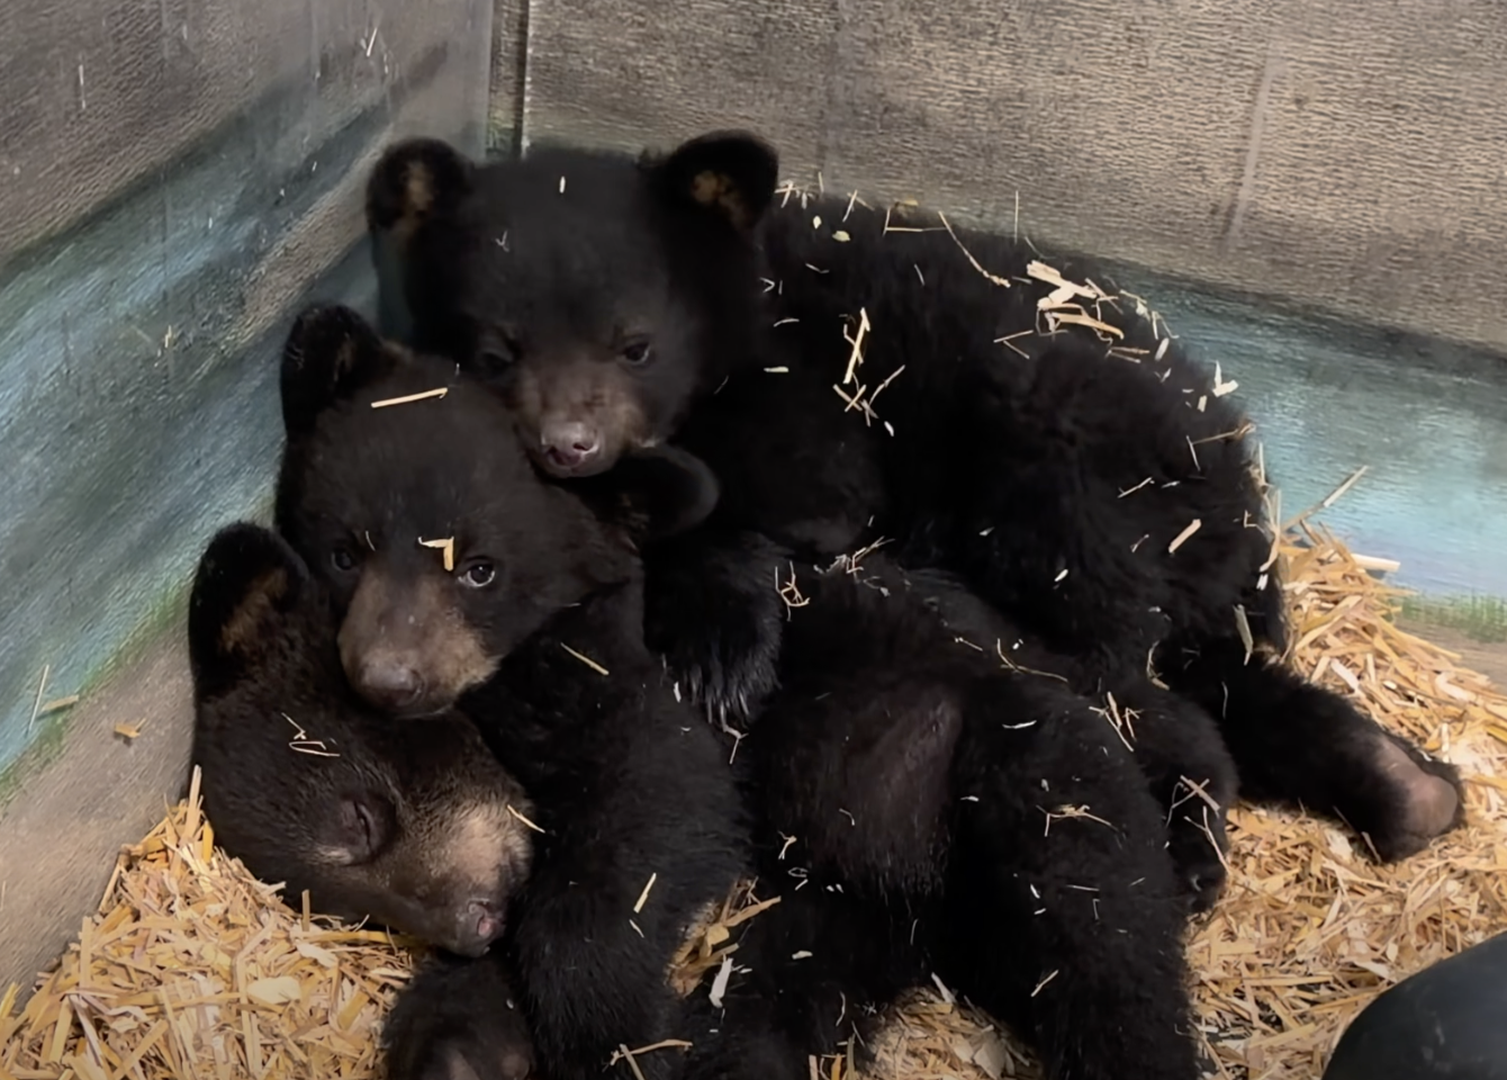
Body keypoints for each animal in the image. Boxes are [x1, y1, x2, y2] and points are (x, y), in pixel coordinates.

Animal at [268, 302, 749, 1080]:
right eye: (345, 552)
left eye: (481, 570)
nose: (390, 679)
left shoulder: (603, 689)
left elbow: (657, 803)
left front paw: (604, 1024)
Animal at [361, 129, 1464, 893]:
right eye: (494, 351)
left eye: (635, 344)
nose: (570, 445)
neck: (740, 325)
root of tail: (1243, 494)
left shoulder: (805, 402)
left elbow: (795, 512)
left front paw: (720, 657)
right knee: (1221, 678)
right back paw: (1408, 794)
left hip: (1060, 470)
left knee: (1124, 662)